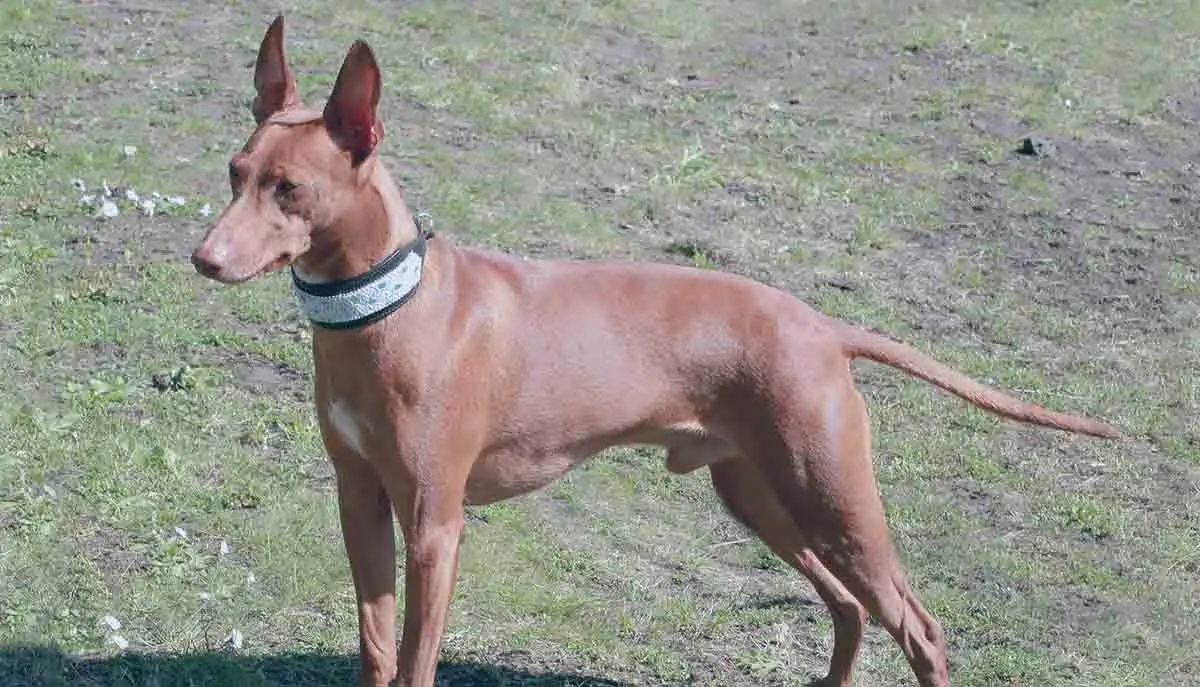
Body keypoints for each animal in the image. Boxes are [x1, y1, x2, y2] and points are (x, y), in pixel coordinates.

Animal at [192, 16, 1118, 687]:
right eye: (235, 171)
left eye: (289, 189)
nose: (203, 257)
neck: (389, 311)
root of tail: (821, 325)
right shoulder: (359, 498)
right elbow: (377, 647)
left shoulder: (434, 524)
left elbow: (415, 659)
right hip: (761, 496)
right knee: (850, 609)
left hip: (834, 499)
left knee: (917, 625)